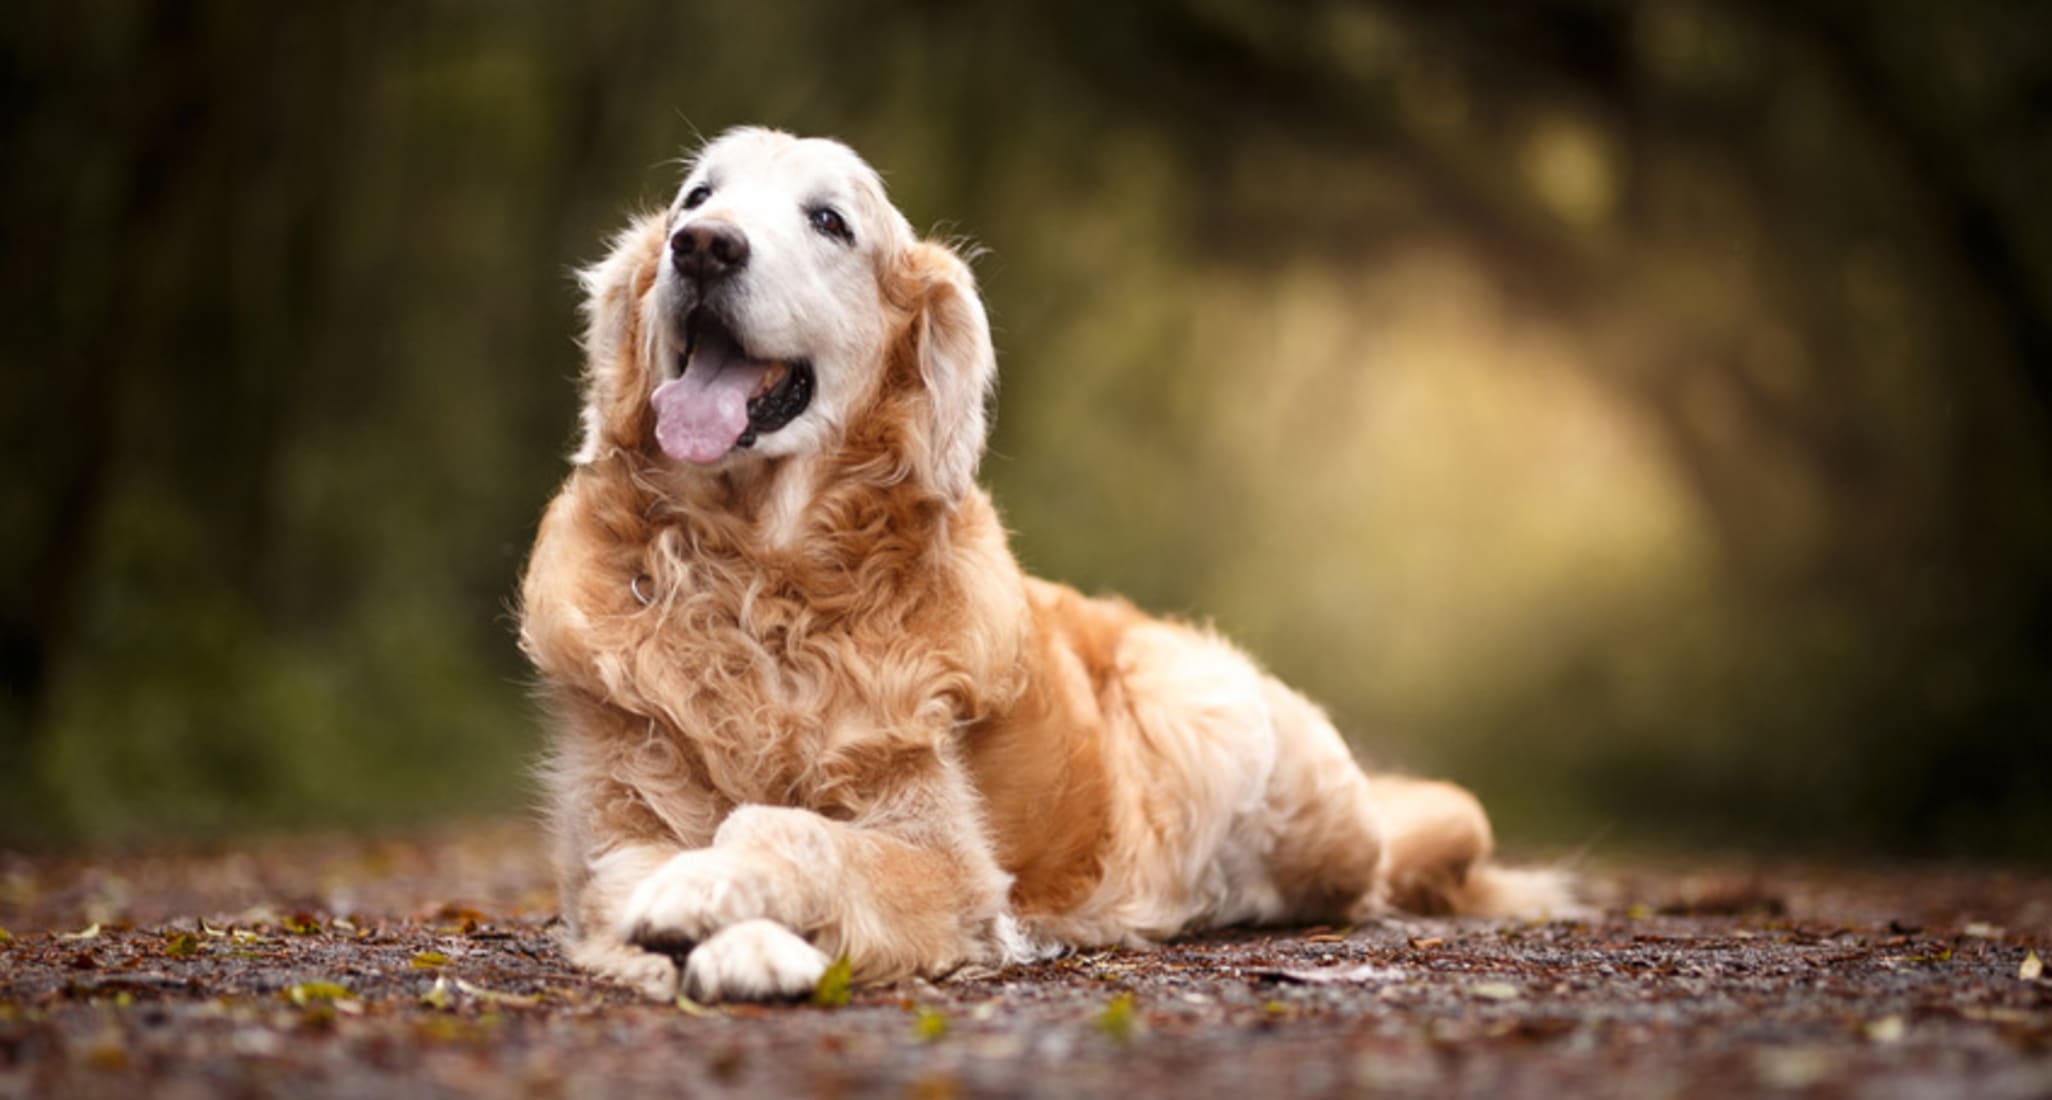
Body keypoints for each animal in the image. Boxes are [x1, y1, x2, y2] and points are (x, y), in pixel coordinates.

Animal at [517, 124, 1567, 1001]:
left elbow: (787, 828)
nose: (703, 246)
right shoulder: (611, 836)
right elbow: (644, 872)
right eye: (696, 198)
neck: (756, 579)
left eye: (829, 221)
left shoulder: (946, 862)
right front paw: (716, 928)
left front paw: (724, 906)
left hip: (1209, 712)